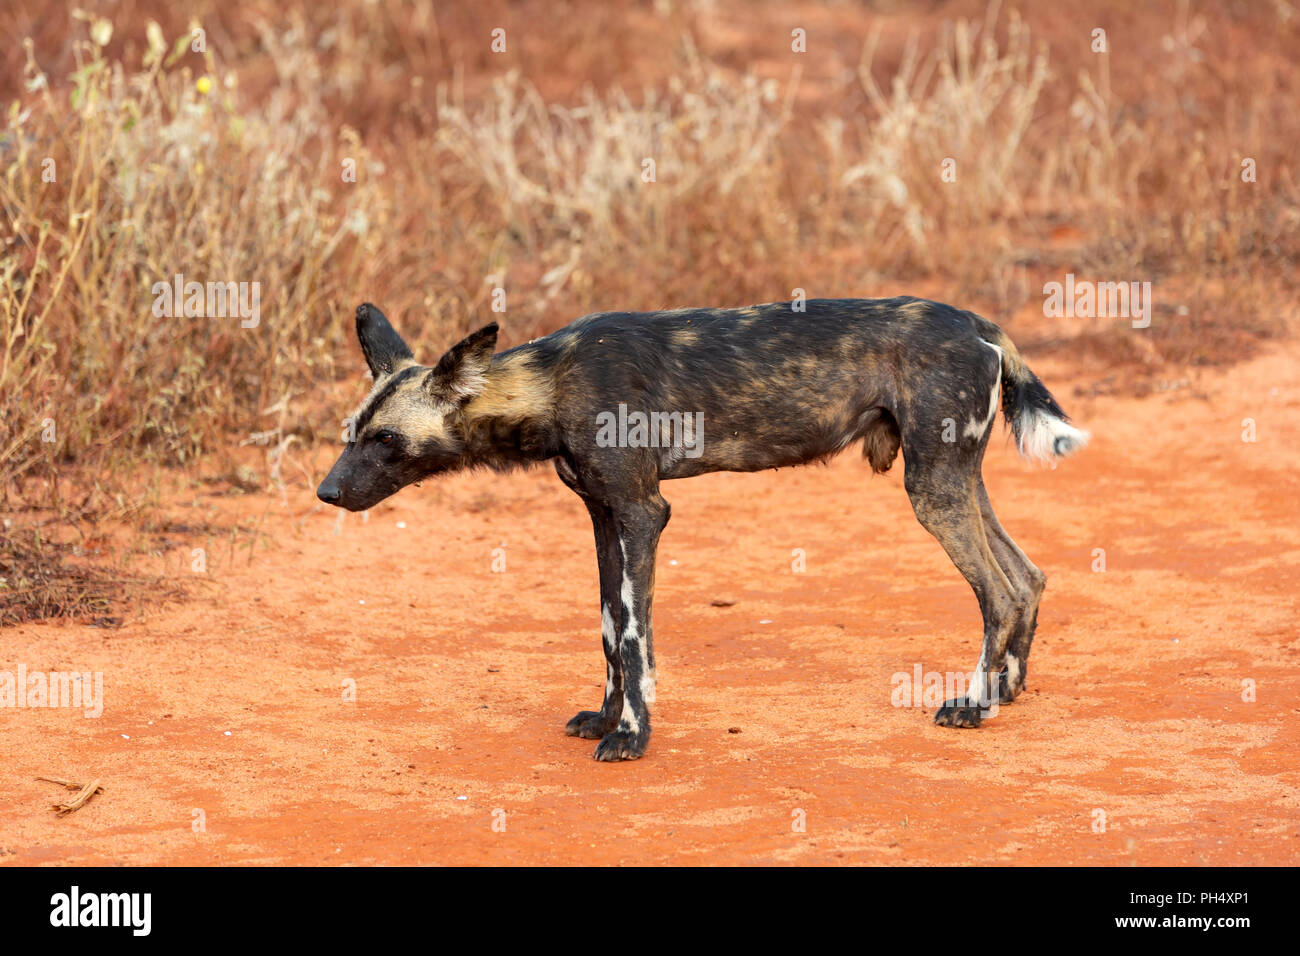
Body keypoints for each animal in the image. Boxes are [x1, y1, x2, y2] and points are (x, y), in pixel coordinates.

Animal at [317, 299, 1086, 764]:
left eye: (385, 440)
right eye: (352, 432)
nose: (326, 492)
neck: (551, 383)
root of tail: (980, 323)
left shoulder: (641, 513)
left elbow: (633, 636)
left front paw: (631, 737)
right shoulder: (603, 516)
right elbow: (609, 627)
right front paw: (607, 717)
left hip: (933, 494)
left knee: (999, 593)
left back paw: (974, 705)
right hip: (952, 483)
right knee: (1027, 576)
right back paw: (1007, 691)